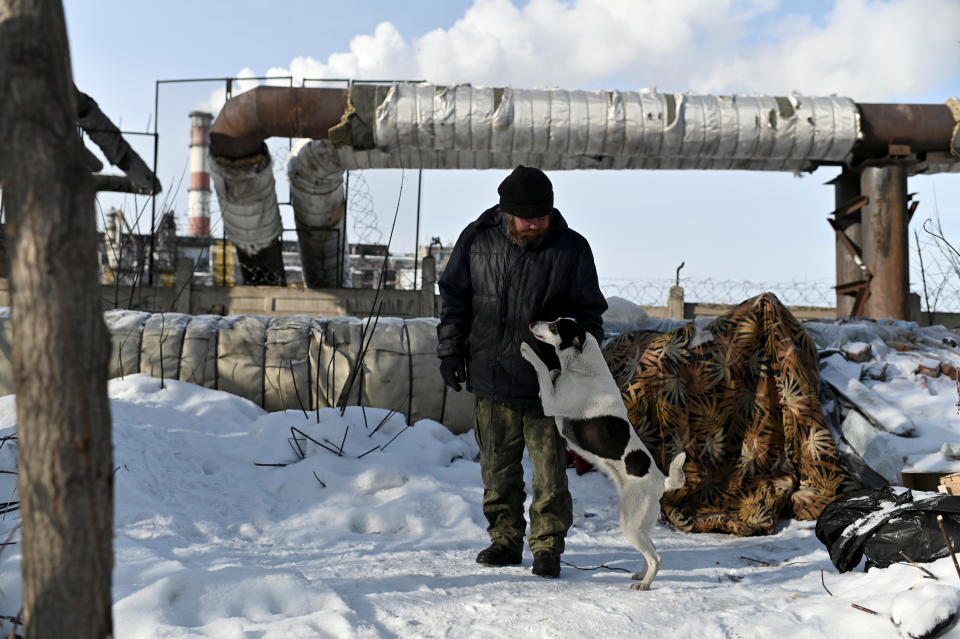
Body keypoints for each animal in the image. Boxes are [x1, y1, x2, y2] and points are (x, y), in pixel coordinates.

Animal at [520, 318, 688, 592]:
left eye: (555, 326)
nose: (533, 323)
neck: (583, 369)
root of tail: (661, 483)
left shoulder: (551, 403)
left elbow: (543, 369)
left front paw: (527, 351)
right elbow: (552, 372)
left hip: (631, 524)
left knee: (656, 557)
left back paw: (645, 584)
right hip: (639, 524)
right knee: (652, 552)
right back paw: (641, 576)